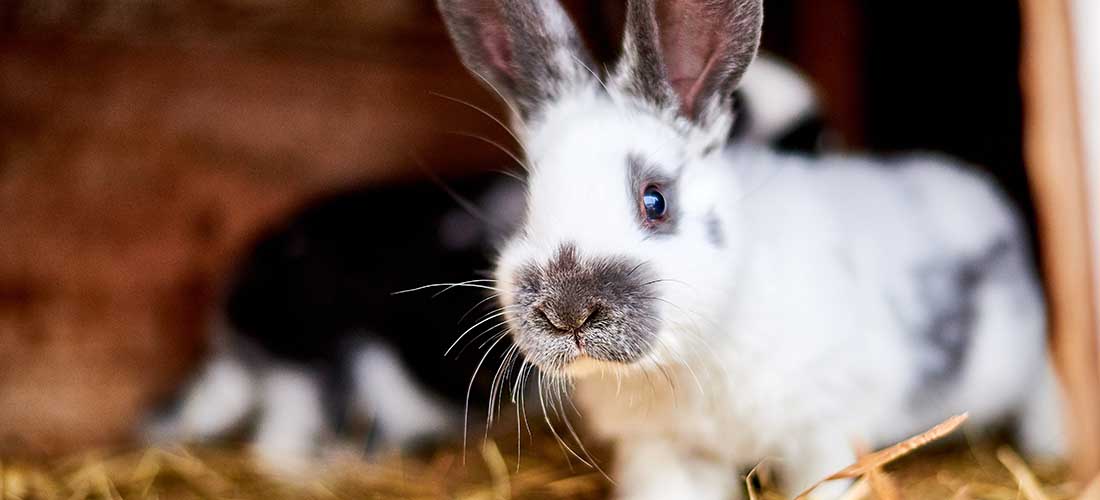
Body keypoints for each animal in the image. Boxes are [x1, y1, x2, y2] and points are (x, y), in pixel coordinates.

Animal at [437, 0, 1064, 500]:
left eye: (655, 200)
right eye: (526, 206)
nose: (567, 311)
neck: (689, 356)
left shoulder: (824, 432)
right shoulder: (665, 452)